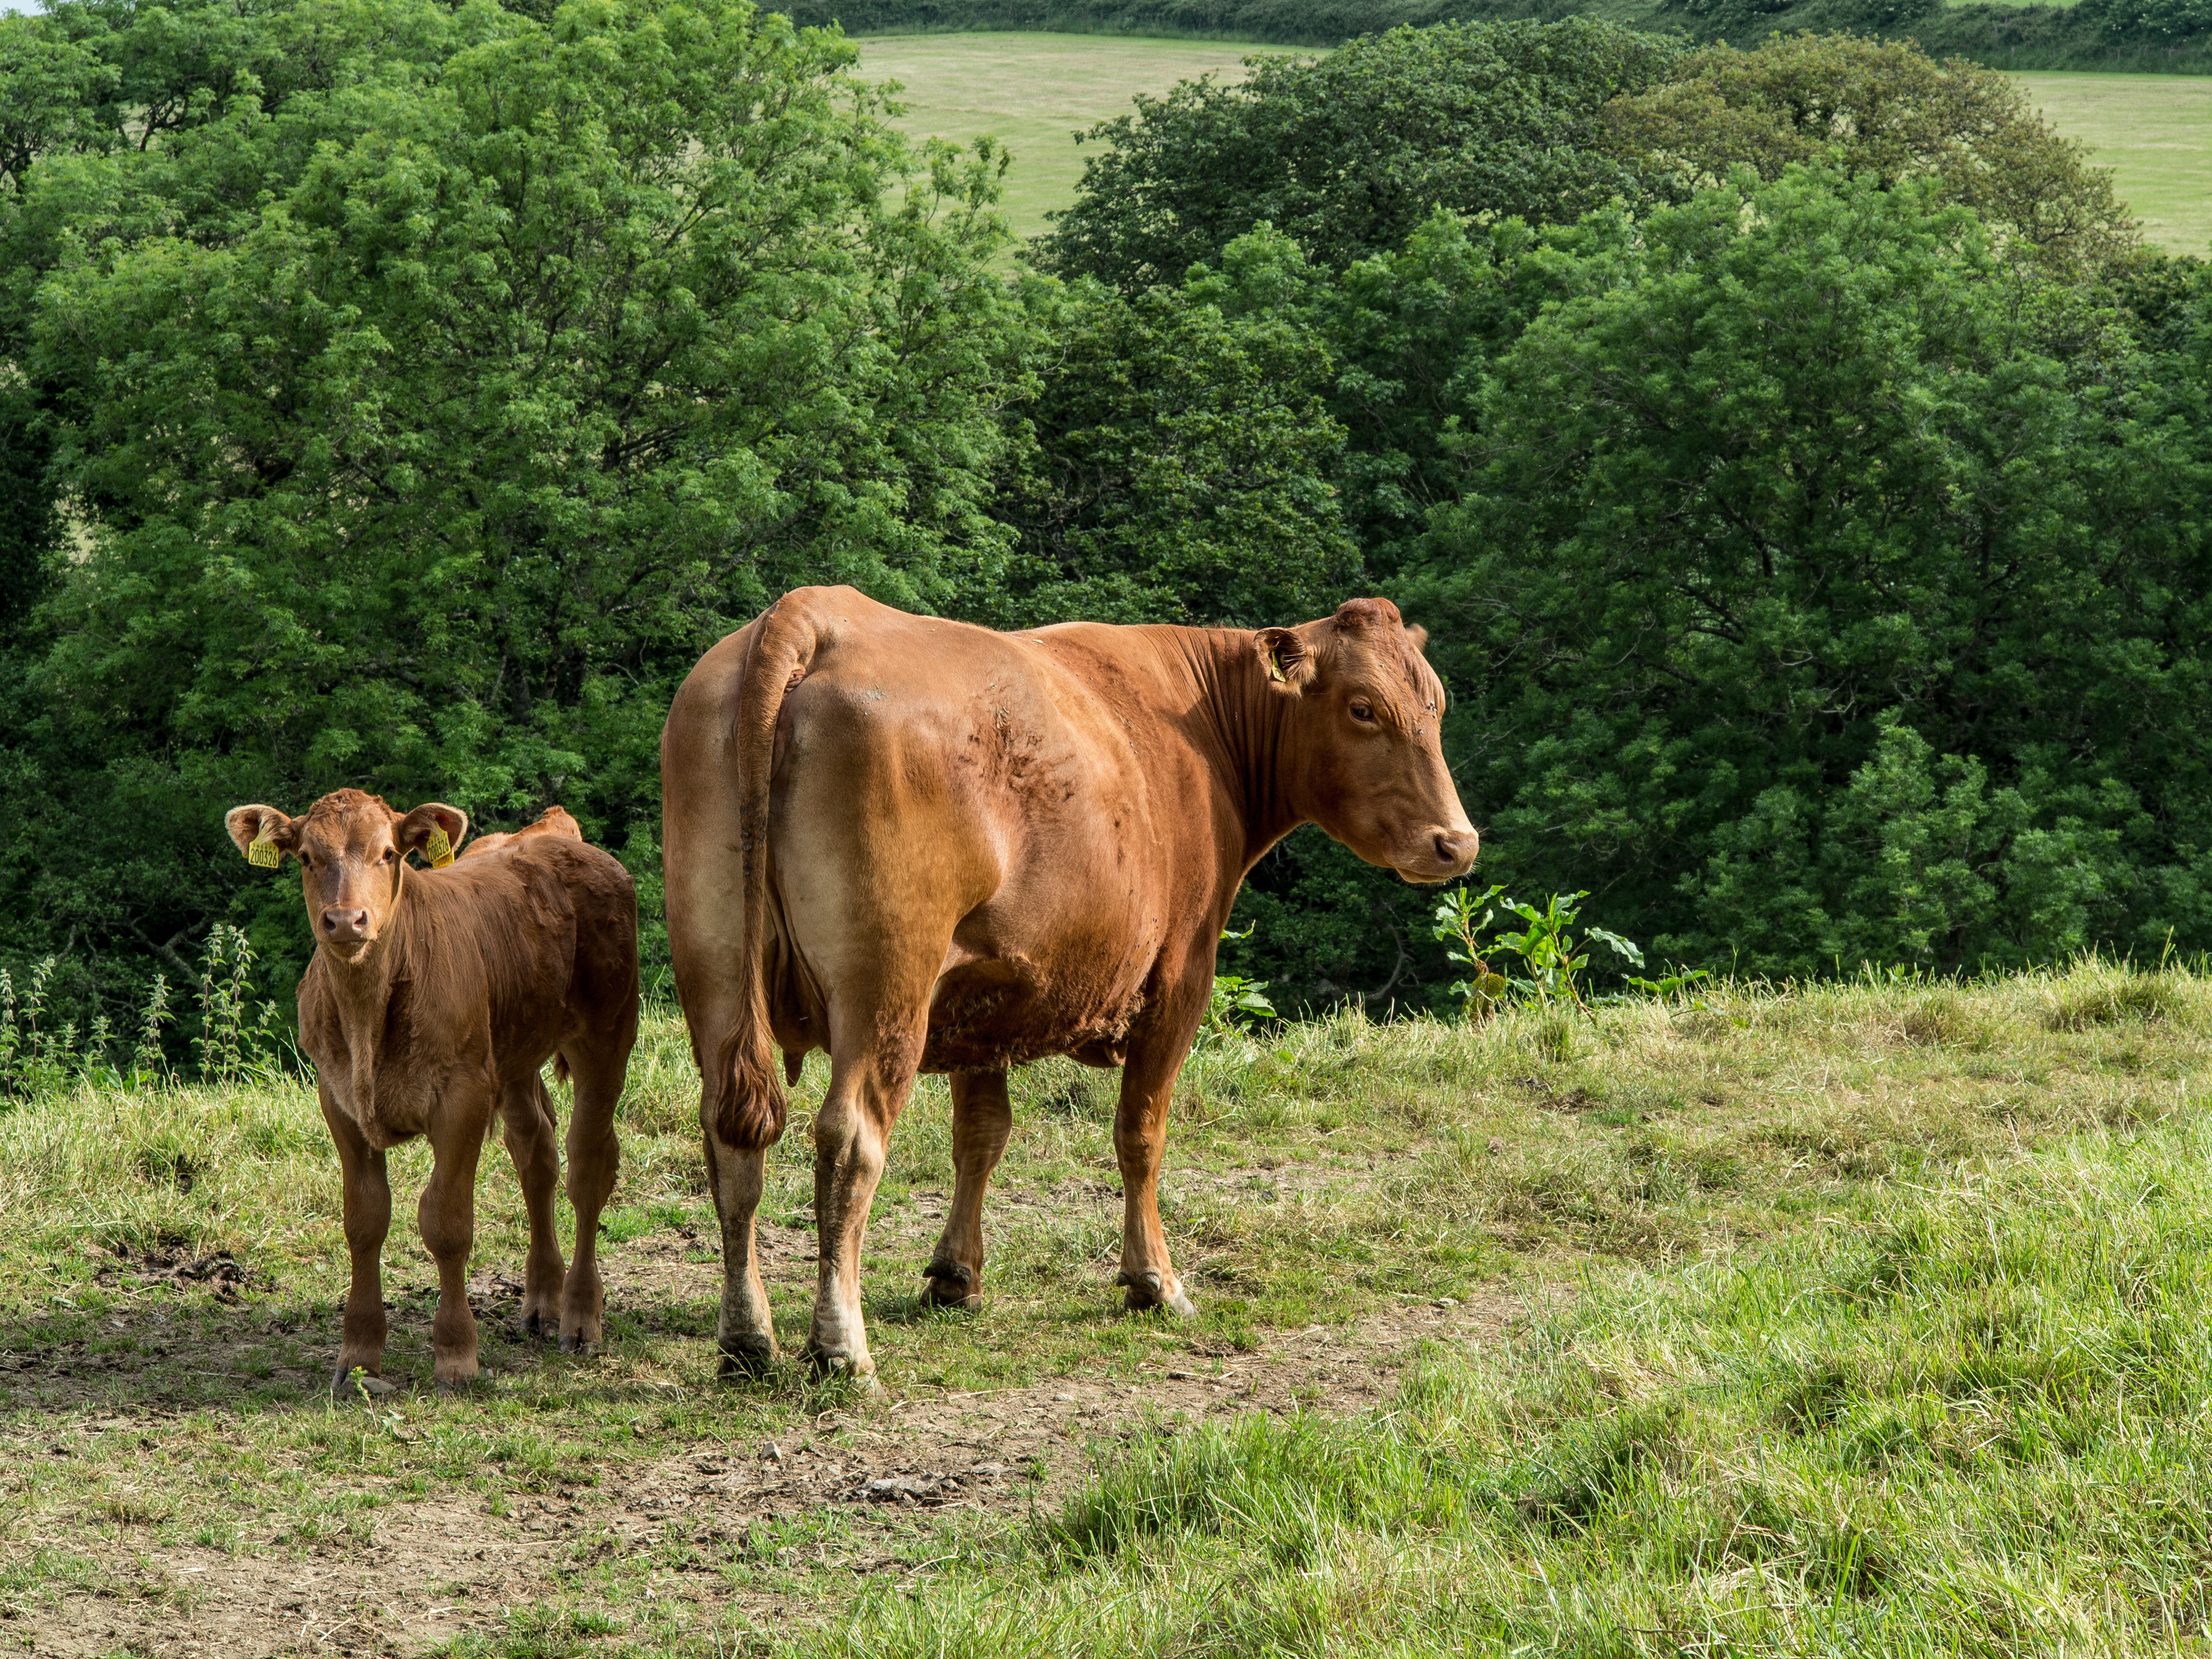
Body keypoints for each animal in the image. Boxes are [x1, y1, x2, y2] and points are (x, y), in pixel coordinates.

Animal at [223, 791, 640, 1392]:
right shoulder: (339, 1101)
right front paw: (358, 1355)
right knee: (536, 1153)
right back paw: (543, 1300)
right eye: (306, 857)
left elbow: (446, 1223)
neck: (368, 1017)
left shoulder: (462, 1097)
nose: (345, 919)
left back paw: (582, 1318)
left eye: (389, 853)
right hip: (513, 1054)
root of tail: (552, 833)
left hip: (607, 1033)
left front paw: (456, 1356)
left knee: (589, 1167)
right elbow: (364, 1220)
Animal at [661, 587, 1478, 1384]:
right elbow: (1140, 1133)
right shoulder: (1180, 978)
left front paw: (956, 1275)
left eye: (1436, 705)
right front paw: (1154, 1281)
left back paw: (747, 1337)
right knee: (850, 1139)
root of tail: (809, 612)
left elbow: (980, 1135)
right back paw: (841, 1347)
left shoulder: (982, 989)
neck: (1198, 728)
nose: (1457, 842)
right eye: (1363, 708)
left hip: (718, 966)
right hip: (886, 986)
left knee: (732, 1133)